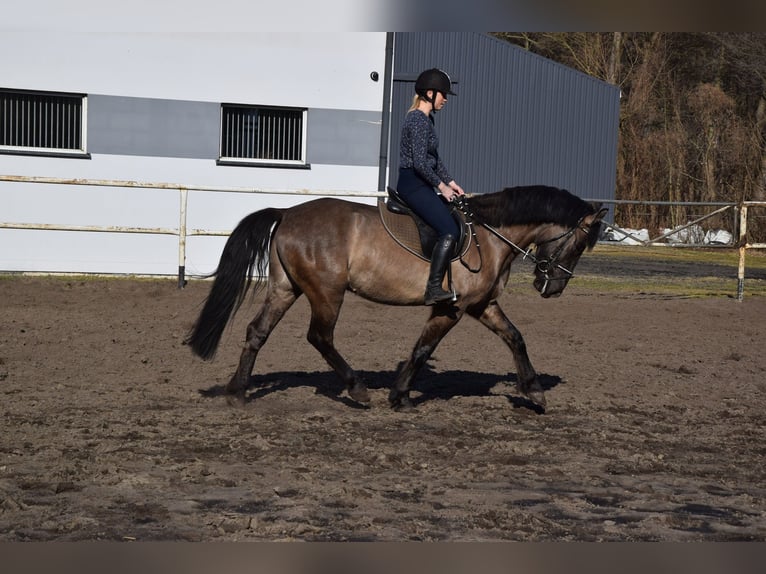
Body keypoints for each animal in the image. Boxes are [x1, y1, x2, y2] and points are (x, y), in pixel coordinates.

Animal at [185, 185, 607, 411]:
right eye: (580, 244)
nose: (552, 287)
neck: (490, 235)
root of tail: (288, 212)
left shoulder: (482, 305)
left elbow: (515, 337)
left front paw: (534, 392)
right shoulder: (451, 307)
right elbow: (422, 349)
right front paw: (400, 395)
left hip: (286, 288)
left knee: (257, 331)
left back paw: (237, 392)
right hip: (326, 293)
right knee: (320, 337)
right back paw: (356, 388)